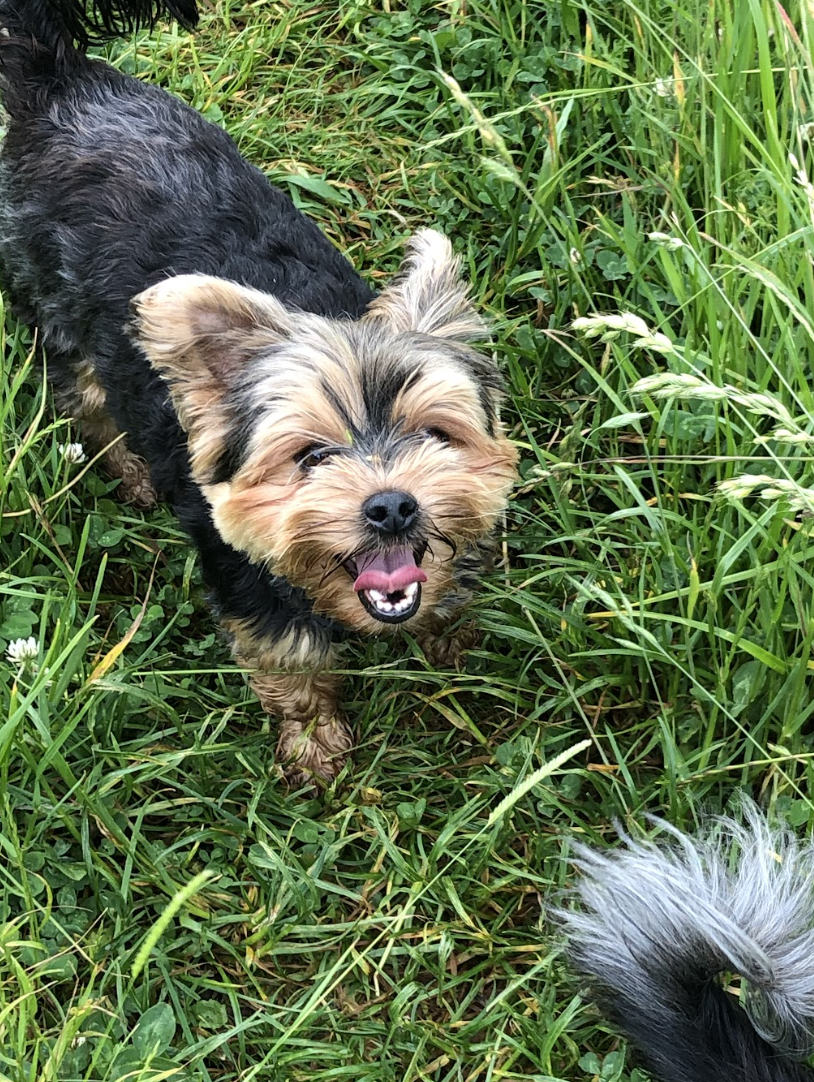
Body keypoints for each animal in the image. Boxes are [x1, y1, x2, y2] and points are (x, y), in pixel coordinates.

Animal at [0, 0, 517, 783]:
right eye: (309, 457)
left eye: (435, 435)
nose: (393, 506)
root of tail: (57, 76)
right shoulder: (246, 582)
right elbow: (289, 657)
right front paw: (313, 745)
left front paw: (451, 634)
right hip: (48, 300)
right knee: (83, 396)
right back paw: (127, 469)